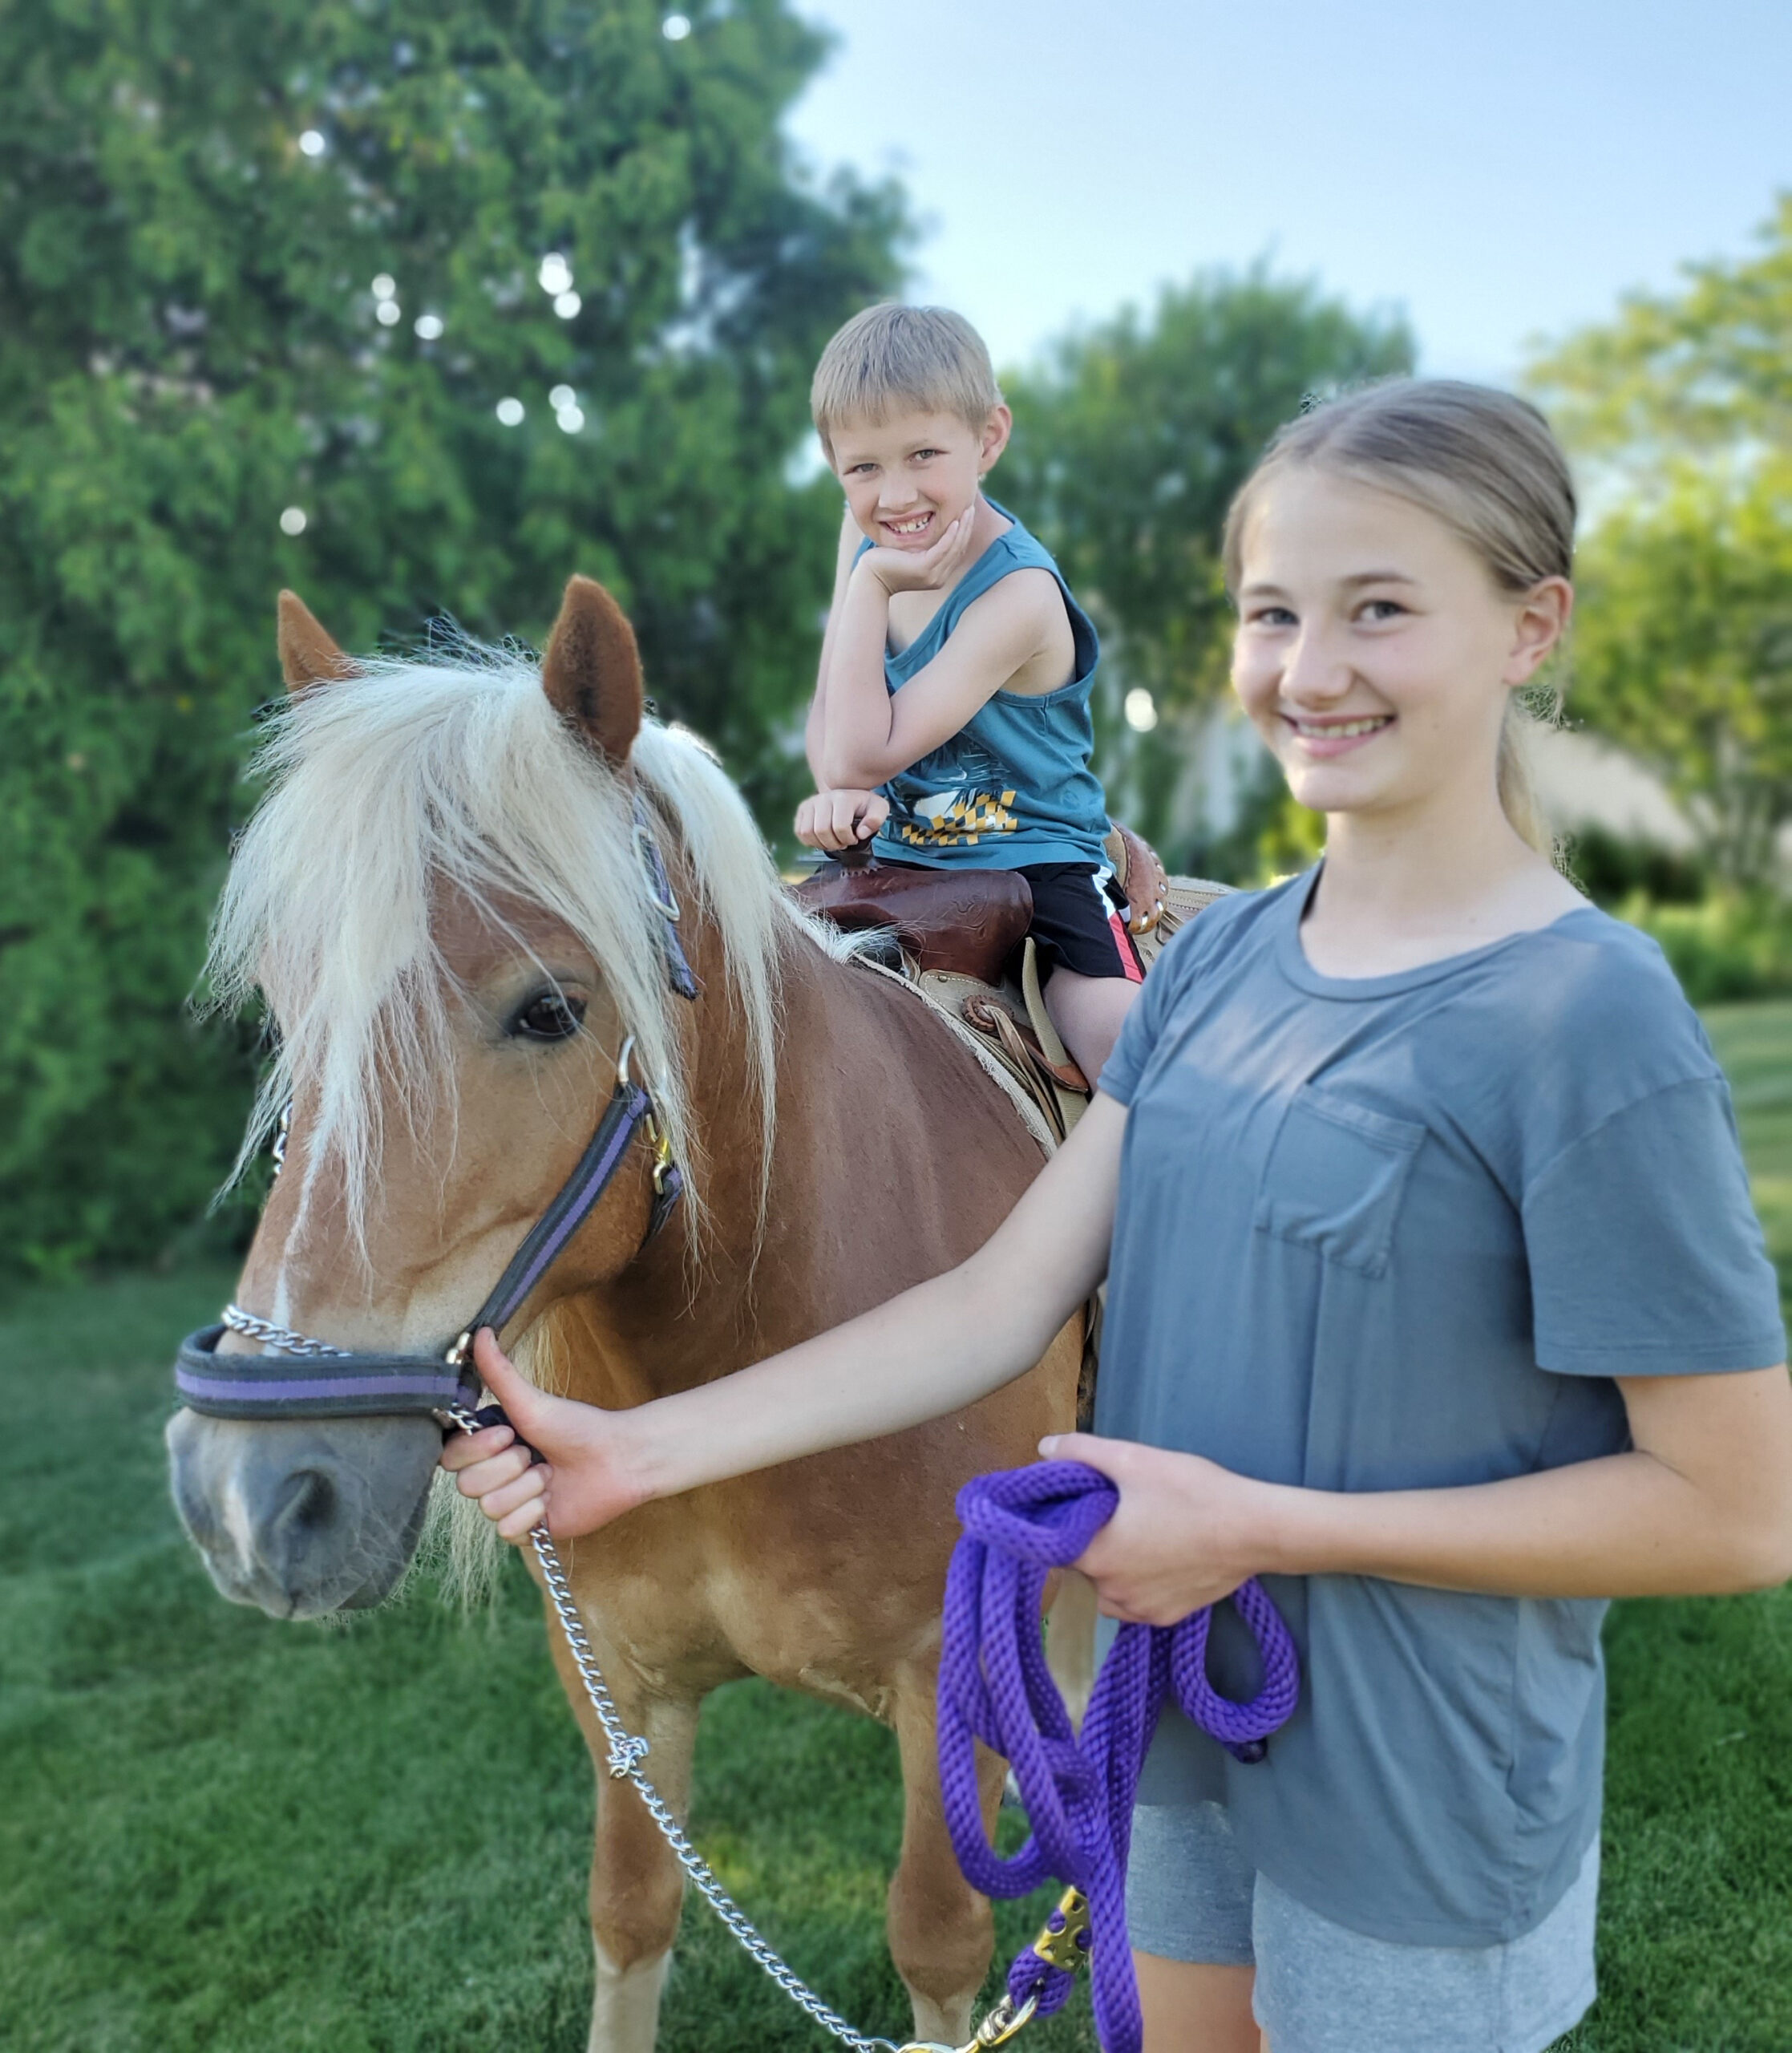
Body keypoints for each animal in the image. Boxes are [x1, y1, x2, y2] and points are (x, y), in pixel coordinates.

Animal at [164, 578, 1075, 2053]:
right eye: (288, 1008)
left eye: (549, 1008)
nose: (249, 1498)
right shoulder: (621, 1694)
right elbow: (632, 1917)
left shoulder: (948, 1687)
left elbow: (937, 1943)